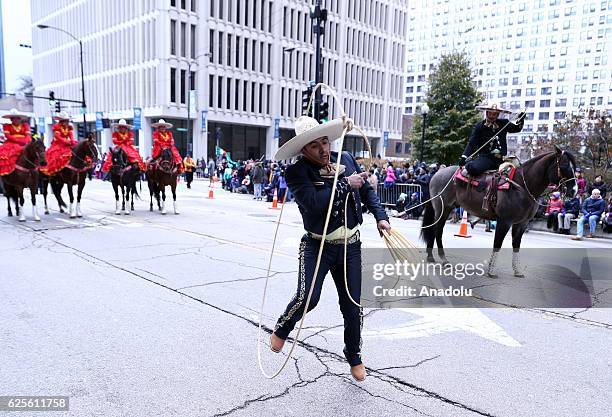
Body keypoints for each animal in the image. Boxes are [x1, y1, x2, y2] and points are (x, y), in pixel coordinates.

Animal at [424, 146, 576, 276]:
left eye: (575, 167)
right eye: (564, 167)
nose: (574, 191)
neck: (521, 186)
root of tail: (438, 173)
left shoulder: (522, 224)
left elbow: (516, 245)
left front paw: (517, 270)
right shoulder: (504, 221)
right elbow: (497, 244)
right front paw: (491, 270)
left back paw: (432, 256)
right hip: (442, 209)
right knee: (436, 230)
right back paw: (440, 258)